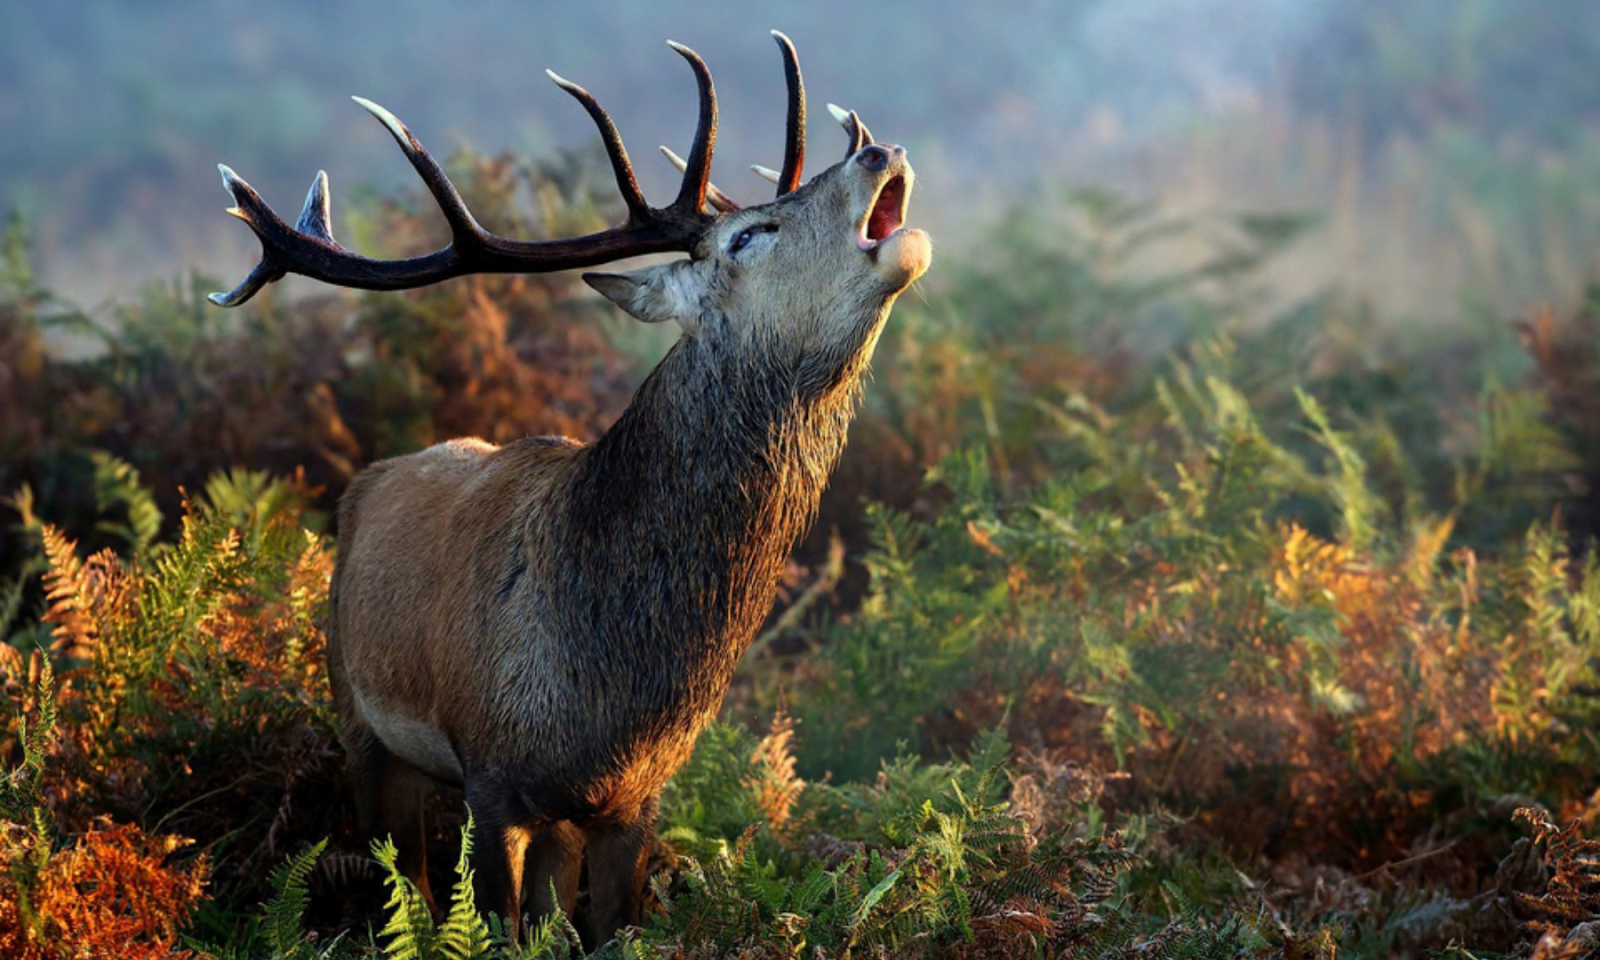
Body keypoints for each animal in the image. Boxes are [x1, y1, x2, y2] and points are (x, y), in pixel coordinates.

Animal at [208, 33, 929, 944]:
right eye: (748, 235)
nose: (880, 149)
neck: (608, 686)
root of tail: (367, 483)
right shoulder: (488, 773)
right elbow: (484, 923)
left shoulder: (634, 800)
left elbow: (606, 928)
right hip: (358, 719)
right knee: (402, 883)